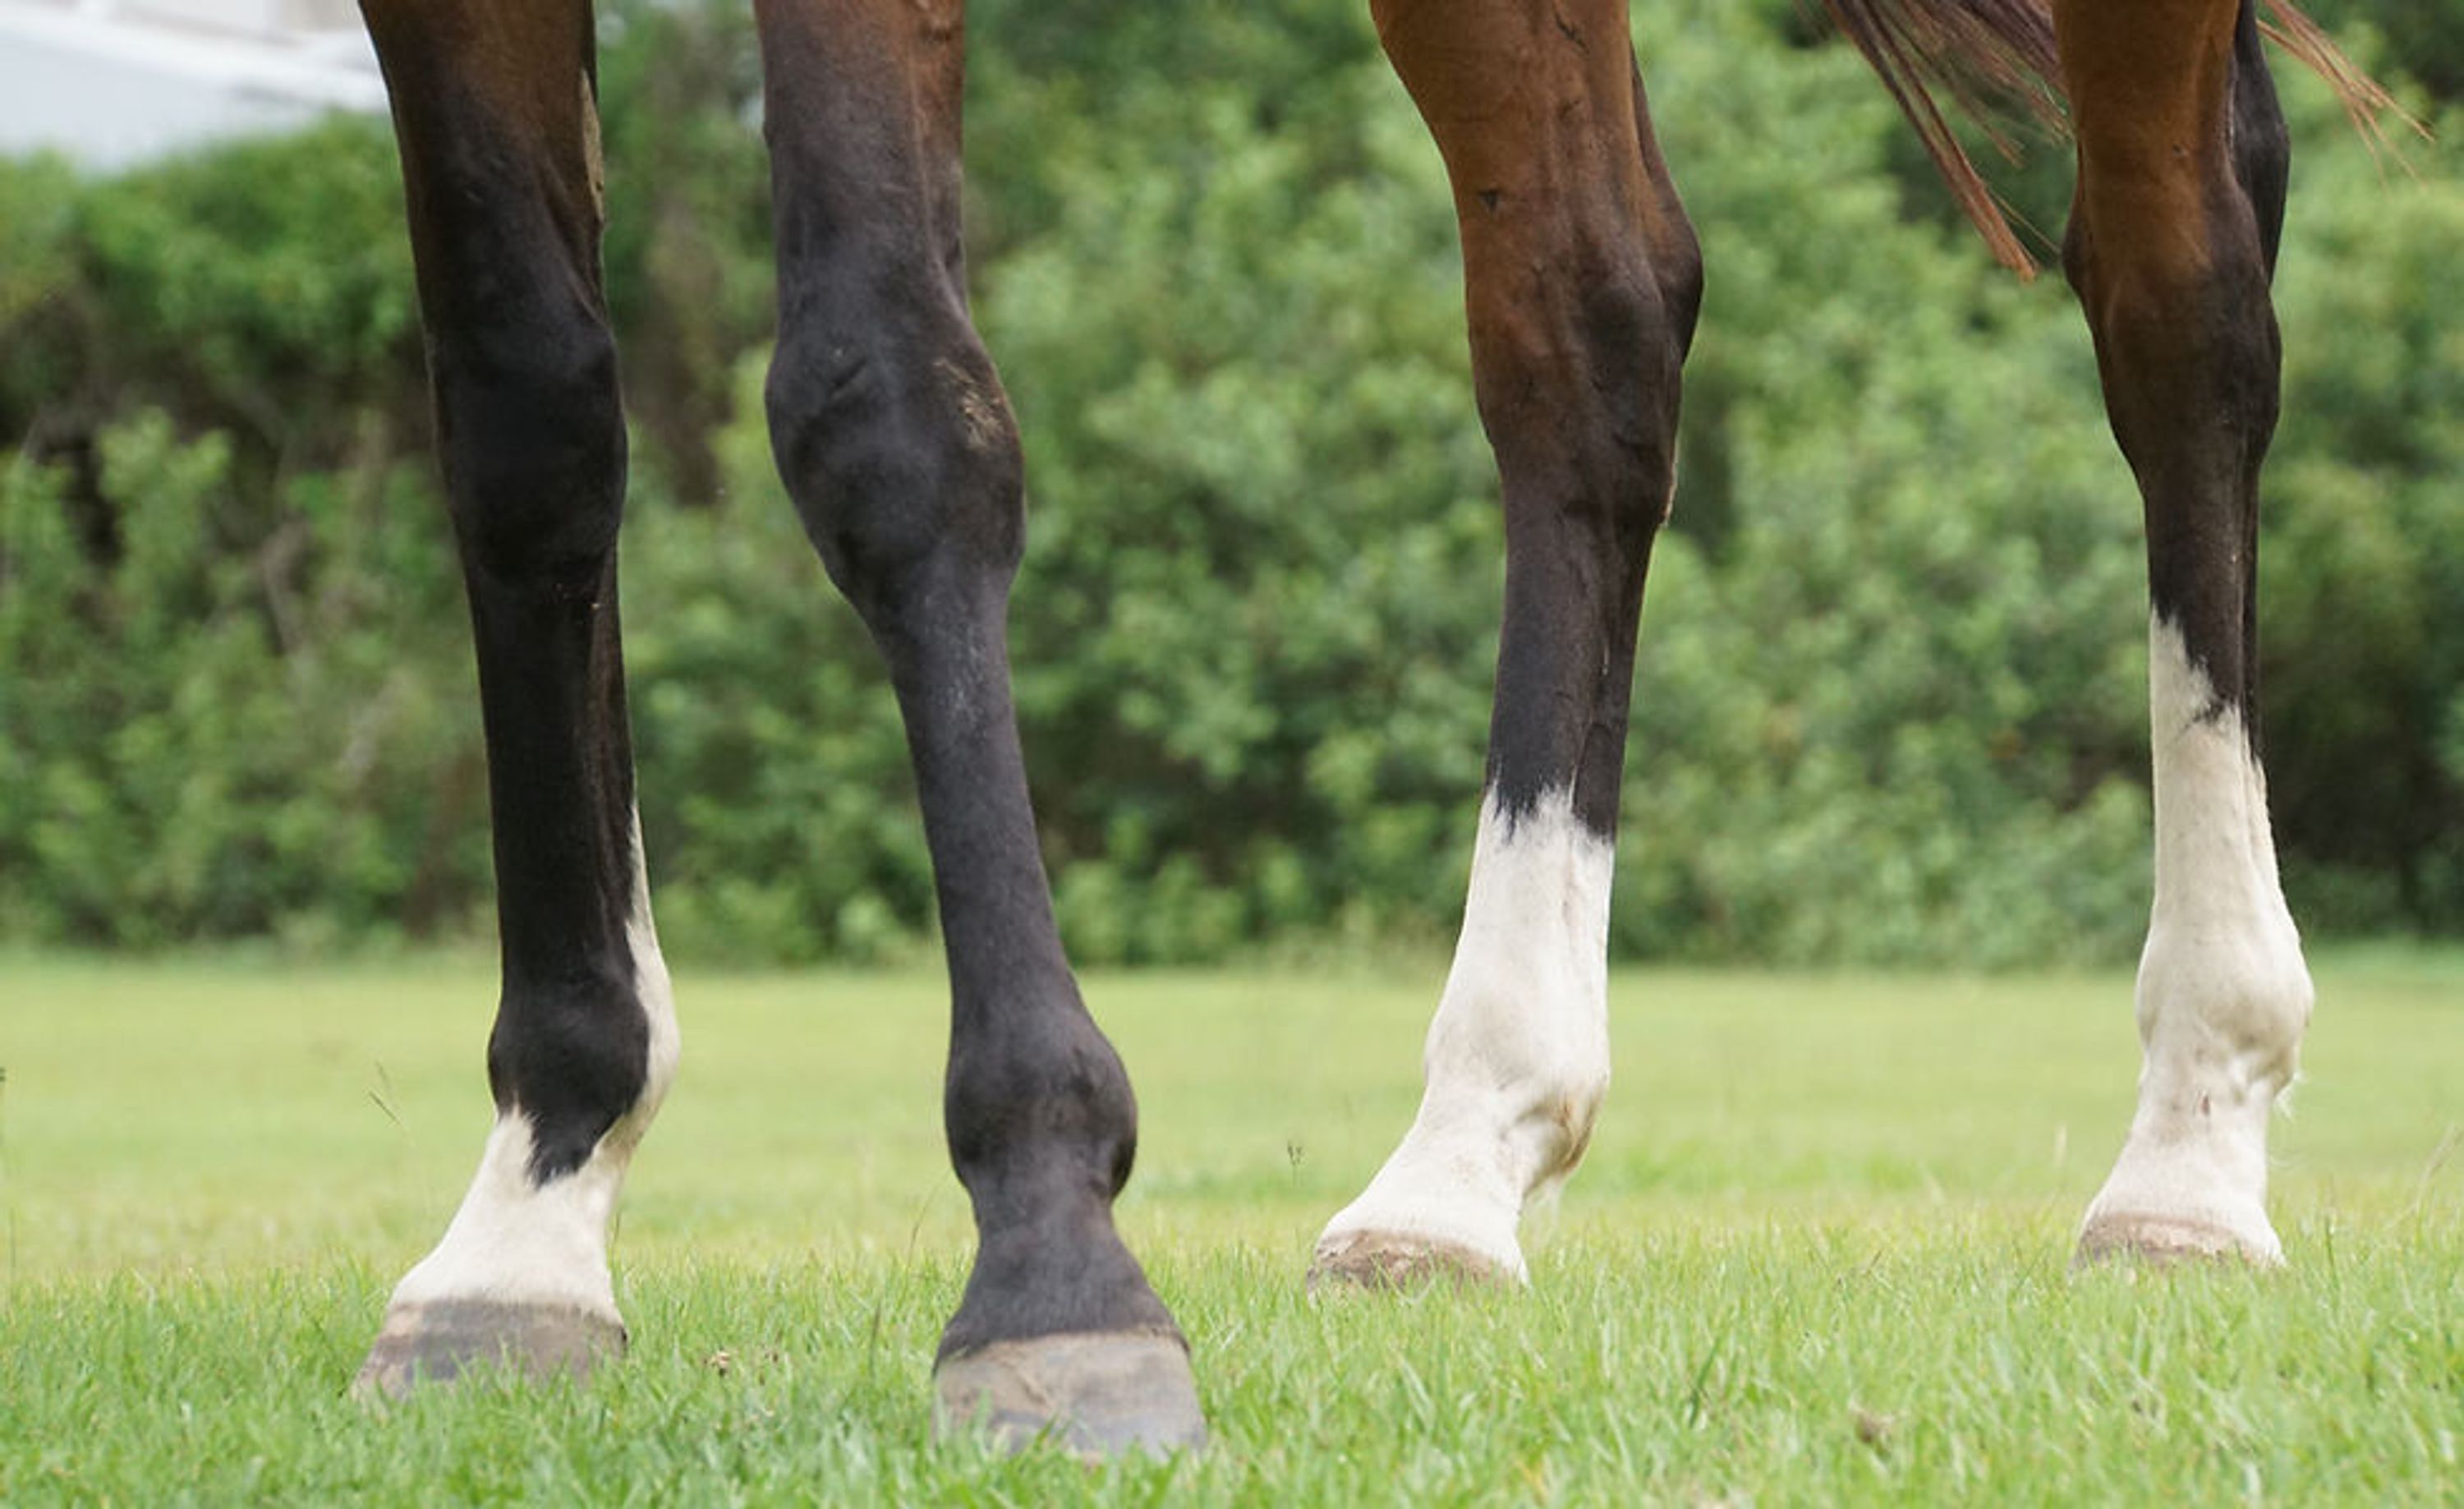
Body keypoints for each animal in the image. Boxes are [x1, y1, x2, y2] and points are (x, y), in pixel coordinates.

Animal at [343, 0, 2386, 1459]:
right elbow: (527, 410)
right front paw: (535, 1207)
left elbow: (883, 402)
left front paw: (1048, 1248)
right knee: (1588, 319)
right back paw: (1468, 1151)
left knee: (2181, 289)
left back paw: (2195, 1135)